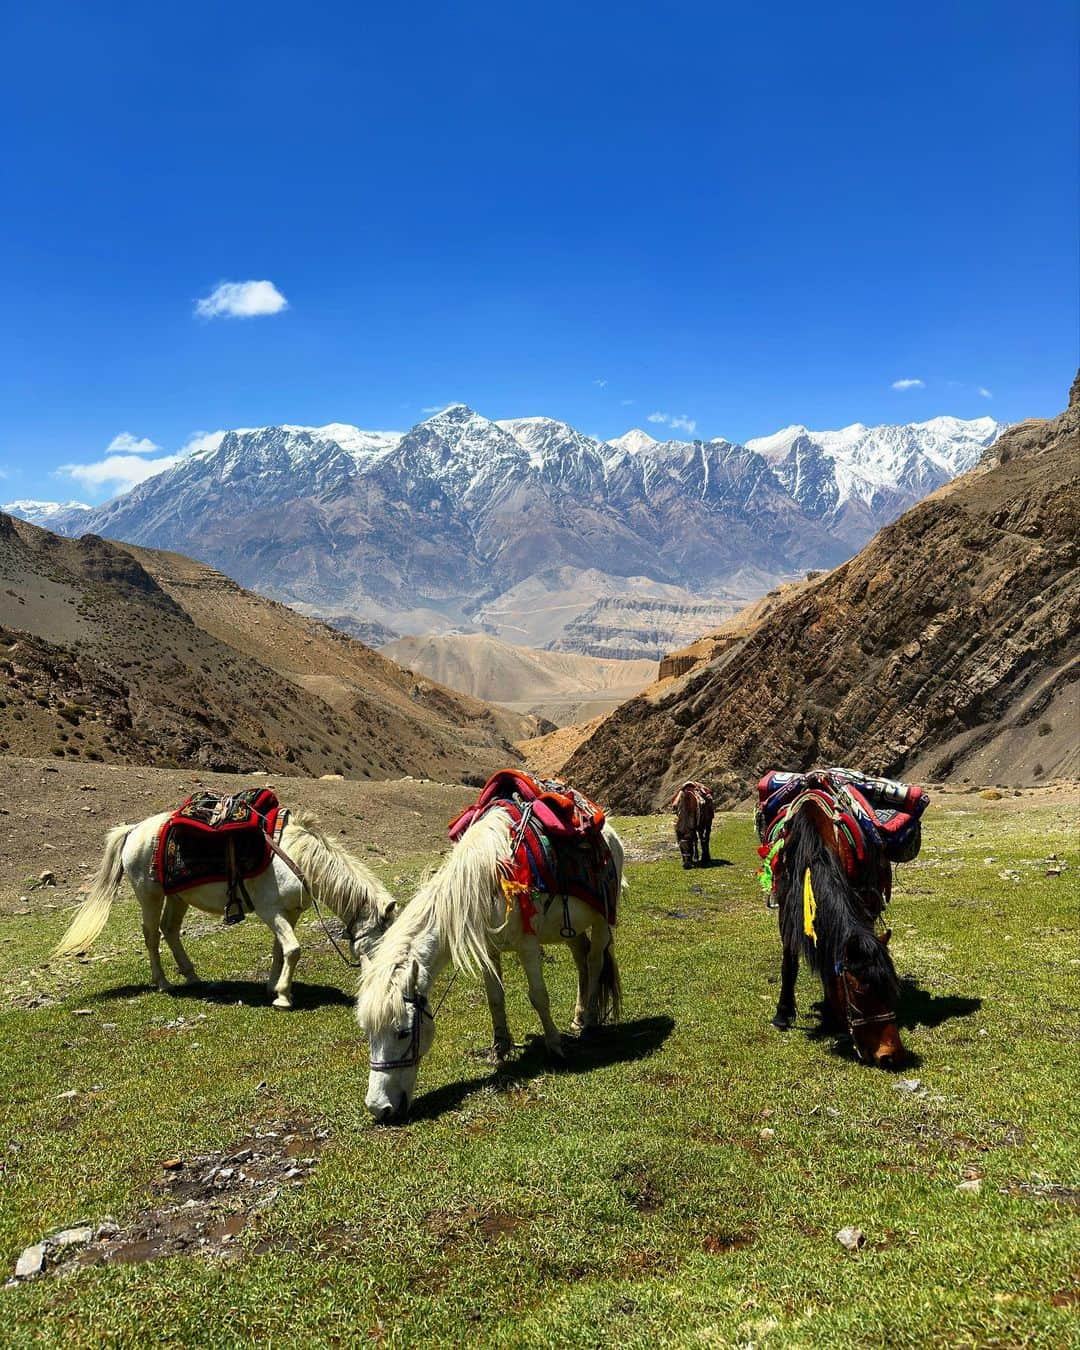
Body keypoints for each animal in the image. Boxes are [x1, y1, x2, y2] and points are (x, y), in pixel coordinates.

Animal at [50, 804, 396, 1009]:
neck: (298, 858)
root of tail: (133, 829)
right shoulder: (271, 911)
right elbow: (294, 950)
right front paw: (284, 997)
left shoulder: (289, 914)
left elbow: (280, 951)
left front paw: (273, 987)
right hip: (150, 895)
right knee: (150, 935)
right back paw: (162, 983)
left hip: (178, 897)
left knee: (169, 929)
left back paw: (192, 976)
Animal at [353, 799, 623, 1128]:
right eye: (368, 1032)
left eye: (403, 1032)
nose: (379, 1108)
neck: (486, 879)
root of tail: (609, 831)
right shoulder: (488, 950)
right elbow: (495, 998)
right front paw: (500, 1047)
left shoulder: (527, 945)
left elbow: (539, 997)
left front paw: (555, 1047)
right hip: (567, 929)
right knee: (581, 957)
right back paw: (579, 1016)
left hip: (602, 919)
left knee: (595, 961)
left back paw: (590, 1022)